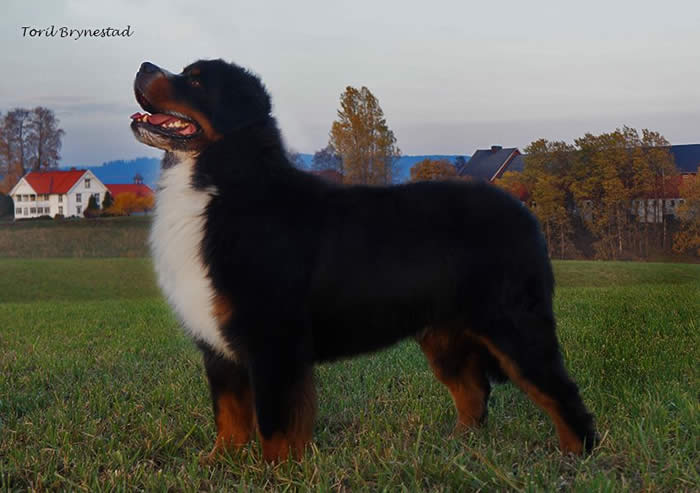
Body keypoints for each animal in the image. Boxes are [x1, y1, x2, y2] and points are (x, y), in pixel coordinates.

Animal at [130, 57, 596, 462]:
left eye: (194, 80)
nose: (144, 66)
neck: (218, 184)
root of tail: (524, 212)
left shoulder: (273, 336)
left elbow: (276, 422)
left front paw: (276, 470)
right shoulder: (218, 342)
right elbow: (229, 416)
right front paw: (218, 463)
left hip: (513, 323)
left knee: (559, 391)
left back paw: (575, 454)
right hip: (444, 334)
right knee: (473, 392)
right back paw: (458, 444)